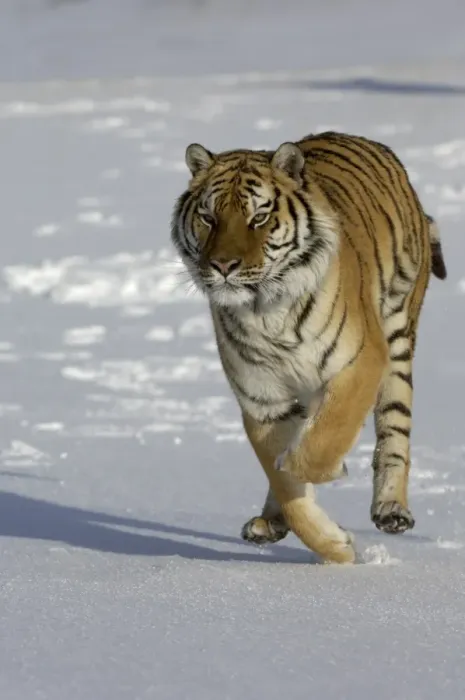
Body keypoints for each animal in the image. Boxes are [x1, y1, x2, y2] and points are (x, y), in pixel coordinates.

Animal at [170, 130, 447, 564]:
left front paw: (329, 474)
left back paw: (392, 510)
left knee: (395, 427)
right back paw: (269, 523)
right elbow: (286, 484)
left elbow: (321, 443)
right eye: (208, 218)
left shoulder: (360, 361)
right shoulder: (263, 400)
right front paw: (335, 546)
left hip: (399, 337)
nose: (223, 266)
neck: (264, 308)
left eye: (259, 218)